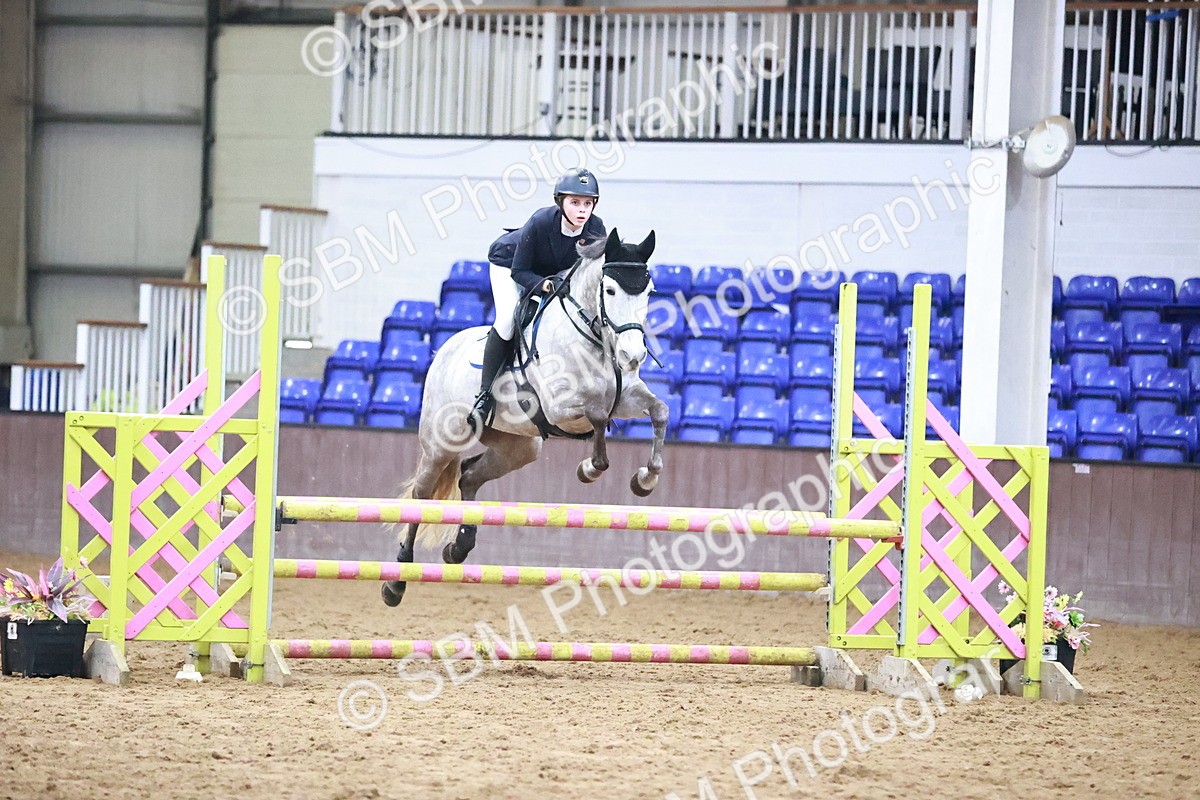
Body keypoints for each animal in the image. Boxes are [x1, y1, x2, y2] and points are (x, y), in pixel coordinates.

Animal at [381, 229, 669, 607]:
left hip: (518, 446)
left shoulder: (625, 397)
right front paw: (589, 469)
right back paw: (396, 582)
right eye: (609, 290)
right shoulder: (559, 408)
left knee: (469, 476)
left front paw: (645, 479)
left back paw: (458, 548)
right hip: (440, 443)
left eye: (648, 292)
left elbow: (659, 411)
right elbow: (596, 415)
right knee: (422, 497)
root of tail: (444, 349)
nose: (632, 356)